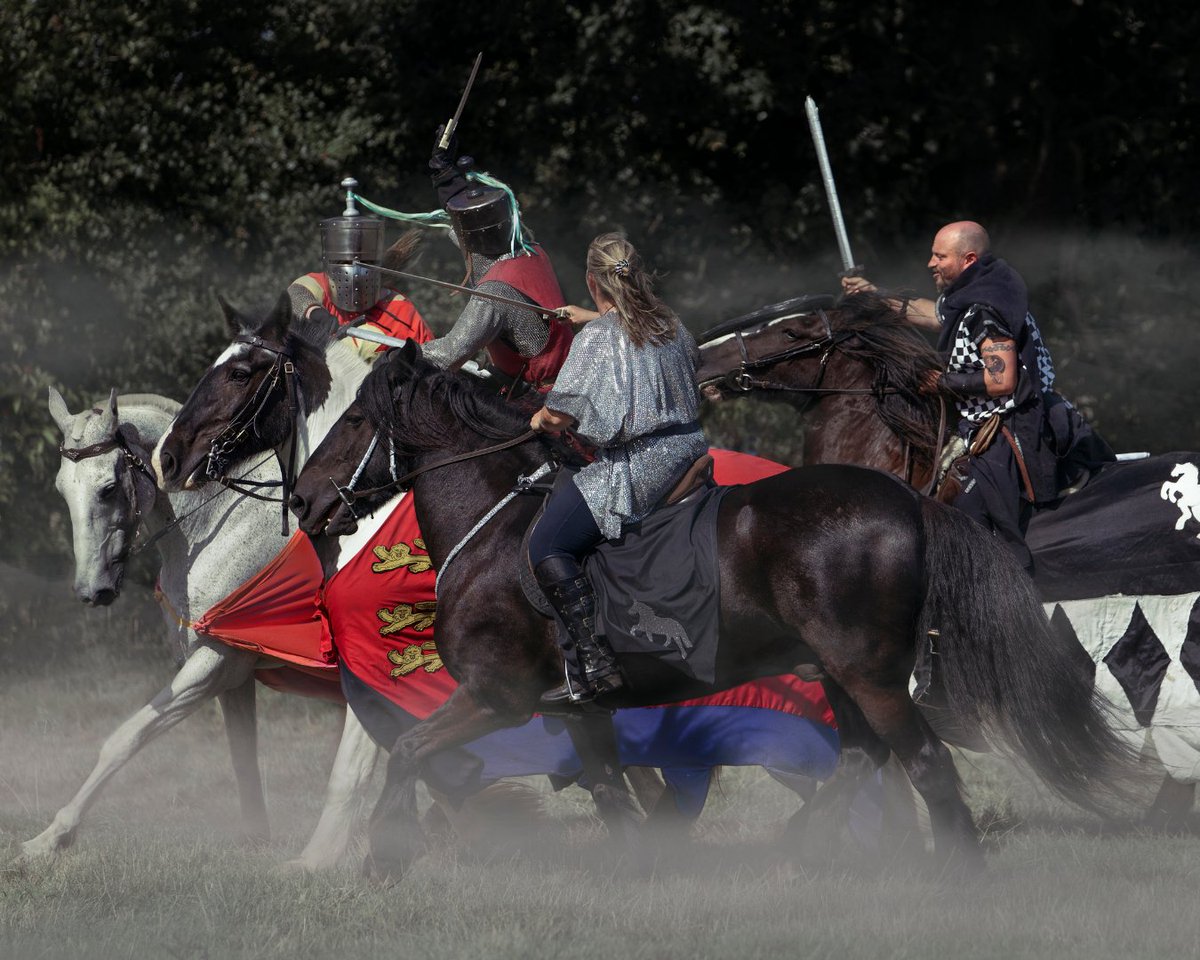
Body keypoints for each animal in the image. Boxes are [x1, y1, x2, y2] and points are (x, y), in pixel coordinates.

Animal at [28, 381, 379, 868]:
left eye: (108, 488)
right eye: (62, 489)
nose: (90, 591)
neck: (219, 526)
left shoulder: (216, 663)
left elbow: (124, 738)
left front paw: (51, 838)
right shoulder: (233, 674)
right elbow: (242, 754)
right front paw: (254, 837)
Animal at [278, 343, 1132, 878]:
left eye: (355, 421)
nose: (304, 501)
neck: (496, 533)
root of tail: (910, 503)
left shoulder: (496, 697)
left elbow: (408, 751)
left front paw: (384, 855)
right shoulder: (579, 710)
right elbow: (609, 788)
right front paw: (644, 863)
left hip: (872, 677)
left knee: (924, 763)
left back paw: (957, 876)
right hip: (839, 675)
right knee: (863, 758)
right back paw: (801, 850)